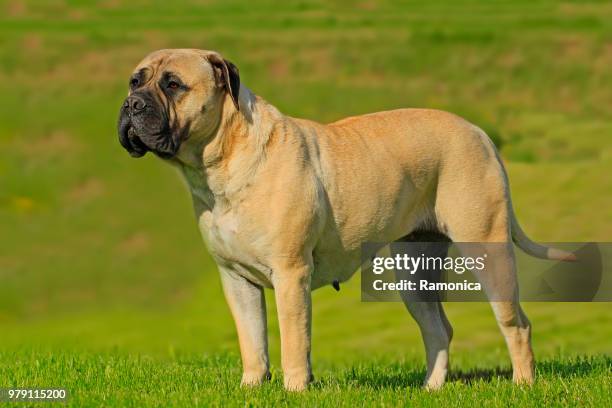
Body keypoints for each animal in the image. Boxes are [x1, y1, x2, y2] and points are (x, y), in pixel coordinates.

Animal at [117, 49, 576, 390]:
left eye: (173, 84)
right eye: (135, 81)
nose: (131, 105)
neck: (222, 161)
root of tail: (479, 133)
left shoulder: (291, 274)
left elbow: (293, 341)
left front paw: (295, 390)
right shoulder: (236, 279)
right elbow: (253, 342)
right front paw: (251, 388)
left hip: (488, 249)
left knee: (516, 324)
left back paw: (523, 384)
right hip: (414, 272)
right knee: (438, 329)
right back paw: (430, 388)